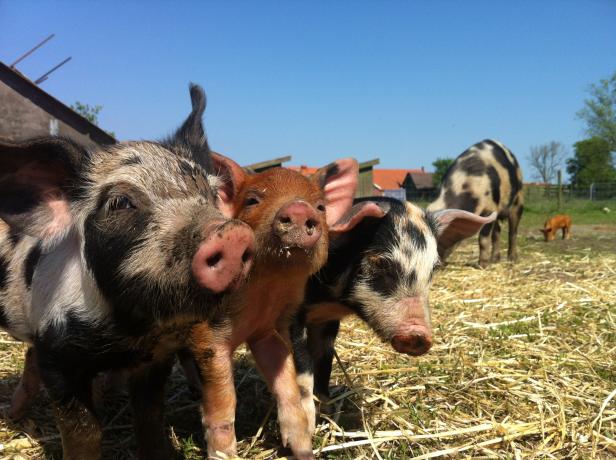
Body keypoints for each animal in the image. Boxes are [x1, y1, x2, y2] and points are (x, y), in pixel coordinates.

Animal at [188, 153, 358, 458]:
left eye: (320, 207)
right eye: (252, 200)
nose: (300, 209)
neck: (265, 291)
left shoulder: (267, 332)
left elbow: (287, 384)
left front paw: (303, 450)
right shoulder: (205, 336)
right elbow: (223, 402)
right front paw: (225, 455)